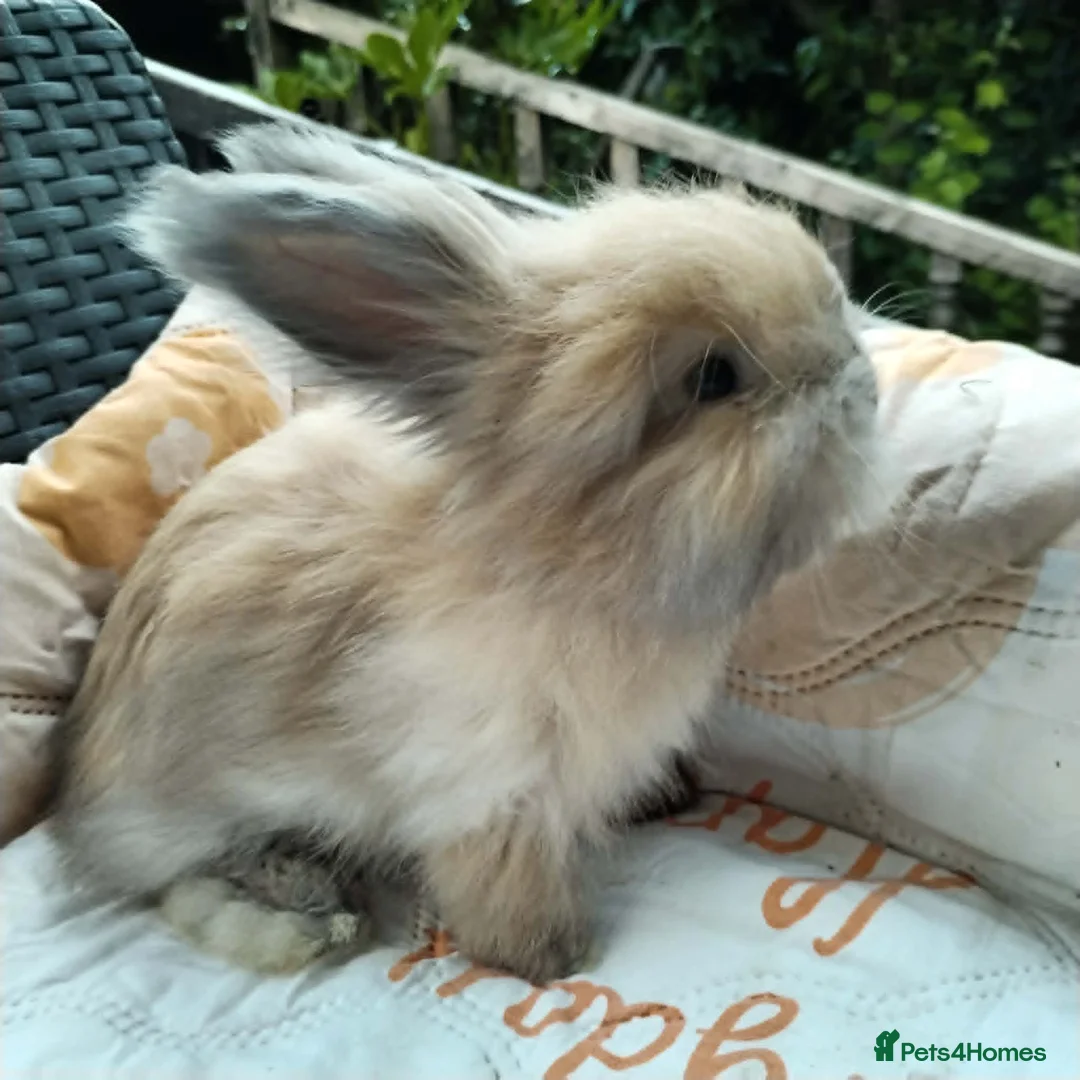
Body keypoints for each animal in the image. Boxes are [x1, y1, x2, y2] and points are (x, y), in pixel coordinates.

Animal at [51, 122, 880, 982]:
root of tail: (77, 807)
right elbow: (500, 883)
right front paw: (550, 956)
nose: (860, 379)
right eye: (714, 376)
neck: (558, 557)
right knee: (180, 882)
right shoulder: (487, 783)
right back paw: (314, 908)